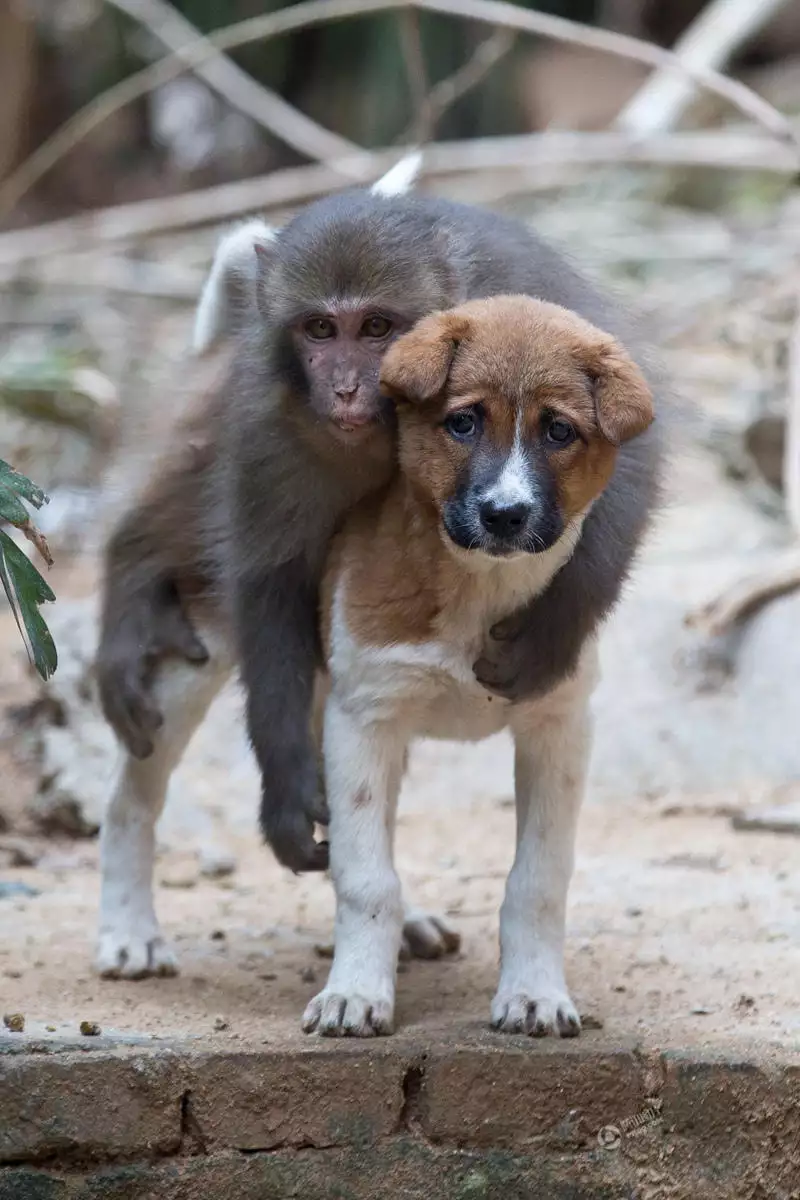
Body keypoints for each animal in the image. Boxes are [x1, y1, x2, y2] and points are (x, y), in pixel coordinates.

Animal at [303, 295, 652, 1036]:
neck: (479, 587)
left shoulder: (558, 726)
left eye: (558, 431)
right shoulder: (363, 718)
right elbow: (365, 876)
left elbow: (539, 879)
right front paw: (355, 993)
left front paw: (534, 993)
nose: (504, 514)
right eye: (462, 422)